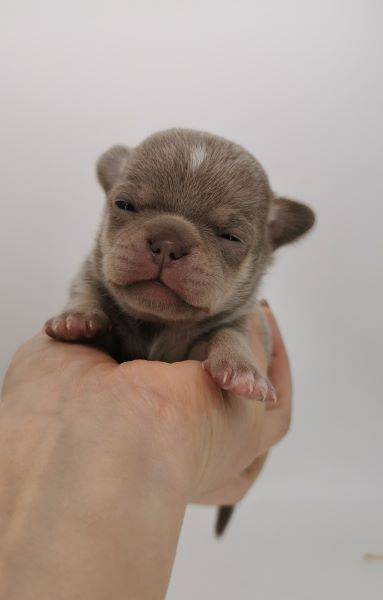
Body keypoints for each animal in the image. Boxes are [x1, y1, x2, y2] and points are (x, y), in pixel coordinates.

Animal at [45, 127, 316, 536]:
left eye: (231, 237)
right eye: (124, 205)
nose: (169, 239)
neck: (161, 324)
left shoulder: (237, 321)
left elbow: (228, 336)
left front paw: (242, 371)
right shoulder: (93, 277)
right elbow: (88, 292)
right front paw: (76, 318)